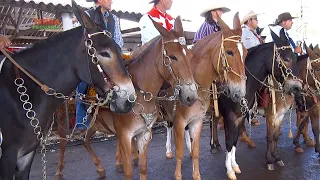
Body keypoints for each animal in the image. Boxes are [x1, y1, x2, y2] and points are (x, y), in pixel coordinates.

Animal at [0, 1, 136, 179]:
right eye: (104, 53)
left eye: (120, 50)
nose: (129, 99)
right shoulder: (8, 158)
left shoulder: (25, 156)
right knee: (65, 142)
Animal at [54, 15, 198, 180]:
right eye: (173, 57)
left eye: (191, 56)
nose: (191, 95)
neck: (140, 94)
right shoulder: (124, 135)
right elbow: (129, 172)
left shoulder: (144, 133)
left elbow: (143, 167)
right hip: (63, 120)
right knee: (63, 142)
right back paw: (59, 171)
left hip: (94, 123)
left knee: (85, 140)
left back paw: (100, 167)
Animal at [159, 12, 246, 180]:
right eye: (229, 52)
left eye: (245, 53)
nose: (240, 92)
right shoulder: (179, 120)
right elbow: (179, 150)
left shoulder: (201, 118)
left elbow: (199, 148)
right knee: (167, 127)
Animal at [209, 28, 304, 179]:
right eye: (286, 59)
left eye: (295, 58)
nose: (297, 87)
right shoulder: (234, 116)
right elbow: (231, 141)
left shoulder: (269, 115)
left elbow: (237, 140)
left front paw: (276, 157)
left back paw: (216, 144)